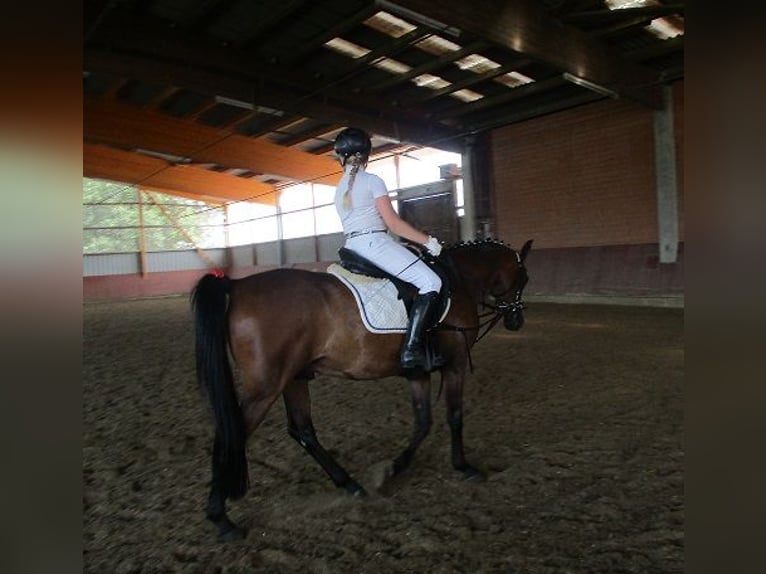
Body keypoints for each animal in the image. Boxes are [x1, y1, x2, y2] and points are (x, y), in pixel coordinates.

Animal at [191, 238, 533, 540]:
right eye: (524, 277)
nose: (516, 320)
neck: (457, 279)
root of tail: (236, 286)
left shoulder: (417, 372)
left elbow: (423, 422)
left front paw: (395, 468)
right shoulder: (456, 364)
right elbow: (455, 416)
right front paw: (463, 467)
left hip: (294, 378)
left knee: (303, 431)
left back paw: (350, 485)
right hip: (266, 387)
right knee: (231, 435)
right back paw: (221, 519)